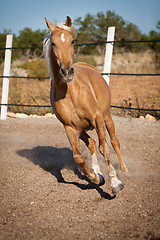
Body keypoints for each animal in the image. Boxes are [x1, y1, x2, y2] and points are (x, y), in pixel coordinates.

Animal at [43, 15, 128, 194]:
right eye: (53, 43)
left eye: (72, 41)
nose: (67, 72)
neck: (70, 92)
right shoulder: (69, 128)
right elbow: (78, 157)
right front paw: (97, 177)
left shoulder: (97, 118)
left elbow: (104, 148)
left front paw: (115, 183)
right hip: (82, 129)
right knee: (91, 143)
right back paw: (97, 170)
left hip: (106, 117)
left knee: (114, 142)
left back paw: (124, 169)